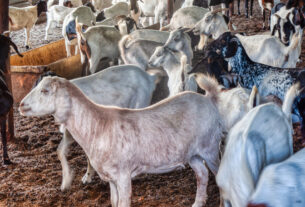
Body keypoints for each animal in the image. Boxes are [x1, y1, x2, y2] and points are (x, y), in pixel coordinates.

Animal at [19, 76, 223, 207]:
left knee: (218, 175)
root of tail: (209, 99)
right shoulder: (111, 177)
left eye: (45, 91)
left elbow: (123, 203)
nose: (21, 105)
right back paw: (197, 203)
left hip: (211, 147)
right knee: (202, 174)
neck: (96, 126)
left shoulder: (124, 175)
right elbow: (114, 202)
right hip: (193, 153)